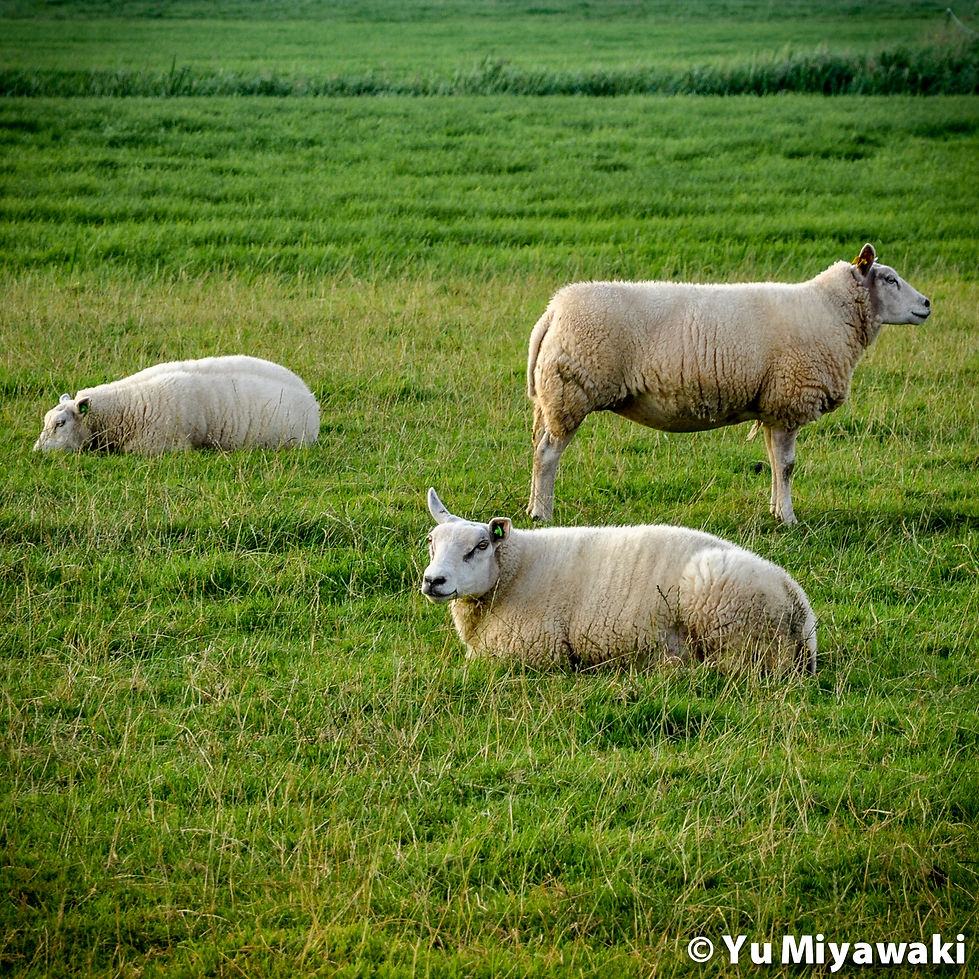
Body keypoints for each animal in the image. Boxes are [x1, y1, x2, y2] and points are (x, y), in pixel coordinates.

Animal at [422, 488, 817, 673]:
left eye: (480, 546)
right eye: (431, 542)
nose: (433, 580)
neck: (515, 571)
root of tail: (798, 606)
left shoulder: (533, 651)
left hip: (730, 621)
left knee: (732, 668)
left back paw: (671, 665)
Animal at [527, 243, 931, 524]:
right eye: (890, 279)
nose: (927, 304)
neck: (830, 311)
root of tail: (554, 309)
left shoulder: (773, 405)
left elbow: (774, 463)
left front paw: (775, 511)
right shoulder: (790, 398)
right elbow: (787, 465)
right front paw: (790, 518)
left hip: (553, 397)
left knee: (537, 449)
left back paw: (532, 508)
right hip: (570, 392)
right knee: (548, 454)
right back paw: (543, 514)